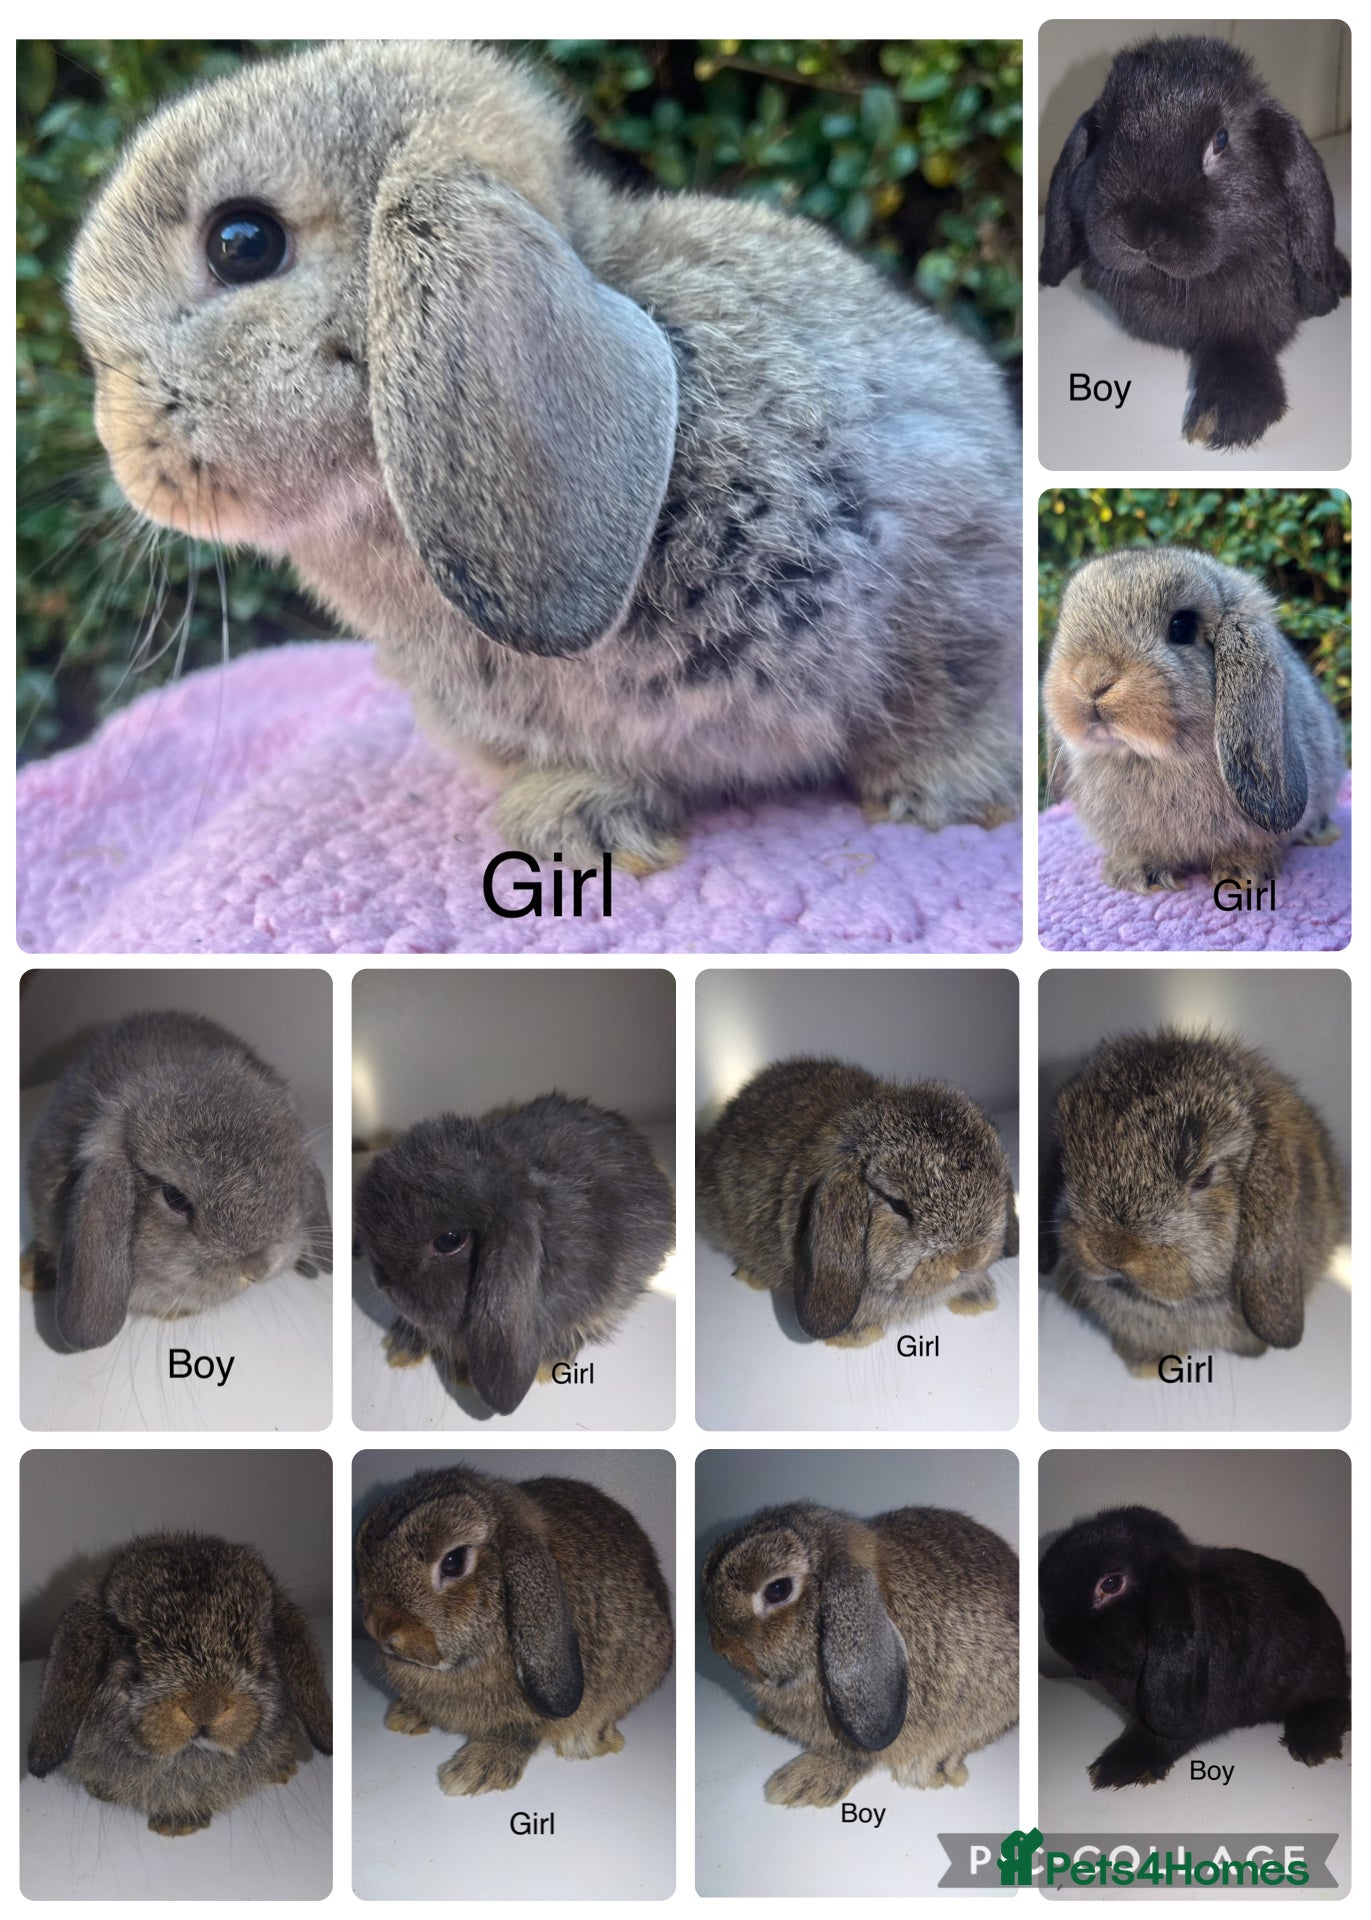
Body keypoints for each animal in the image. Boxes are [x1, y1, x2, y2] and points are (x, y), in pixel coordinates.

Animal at [1040, 36, 1350, 451]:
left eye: (1221, 140)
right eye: (1102, 134)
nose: (1143, 233)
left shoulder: (1249, 320)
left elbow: (1241, 345)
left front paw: (1225, 415)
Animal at [1040, 1506, 1350, 1789]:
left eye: (1111, 1583)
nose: (1055, 1637)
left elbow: (1163, 1737)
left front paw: (1118, 1767)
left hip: (1316, 1673)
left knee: (1334, 1699)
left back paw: (1312, 1743)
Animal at [1042, 547, 1345, 894]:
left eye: (1181, 626)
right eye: (1066, 621)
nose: (1091, 679)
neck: (1150, 756)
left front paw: (1242, 873)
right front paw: (1136, 874)